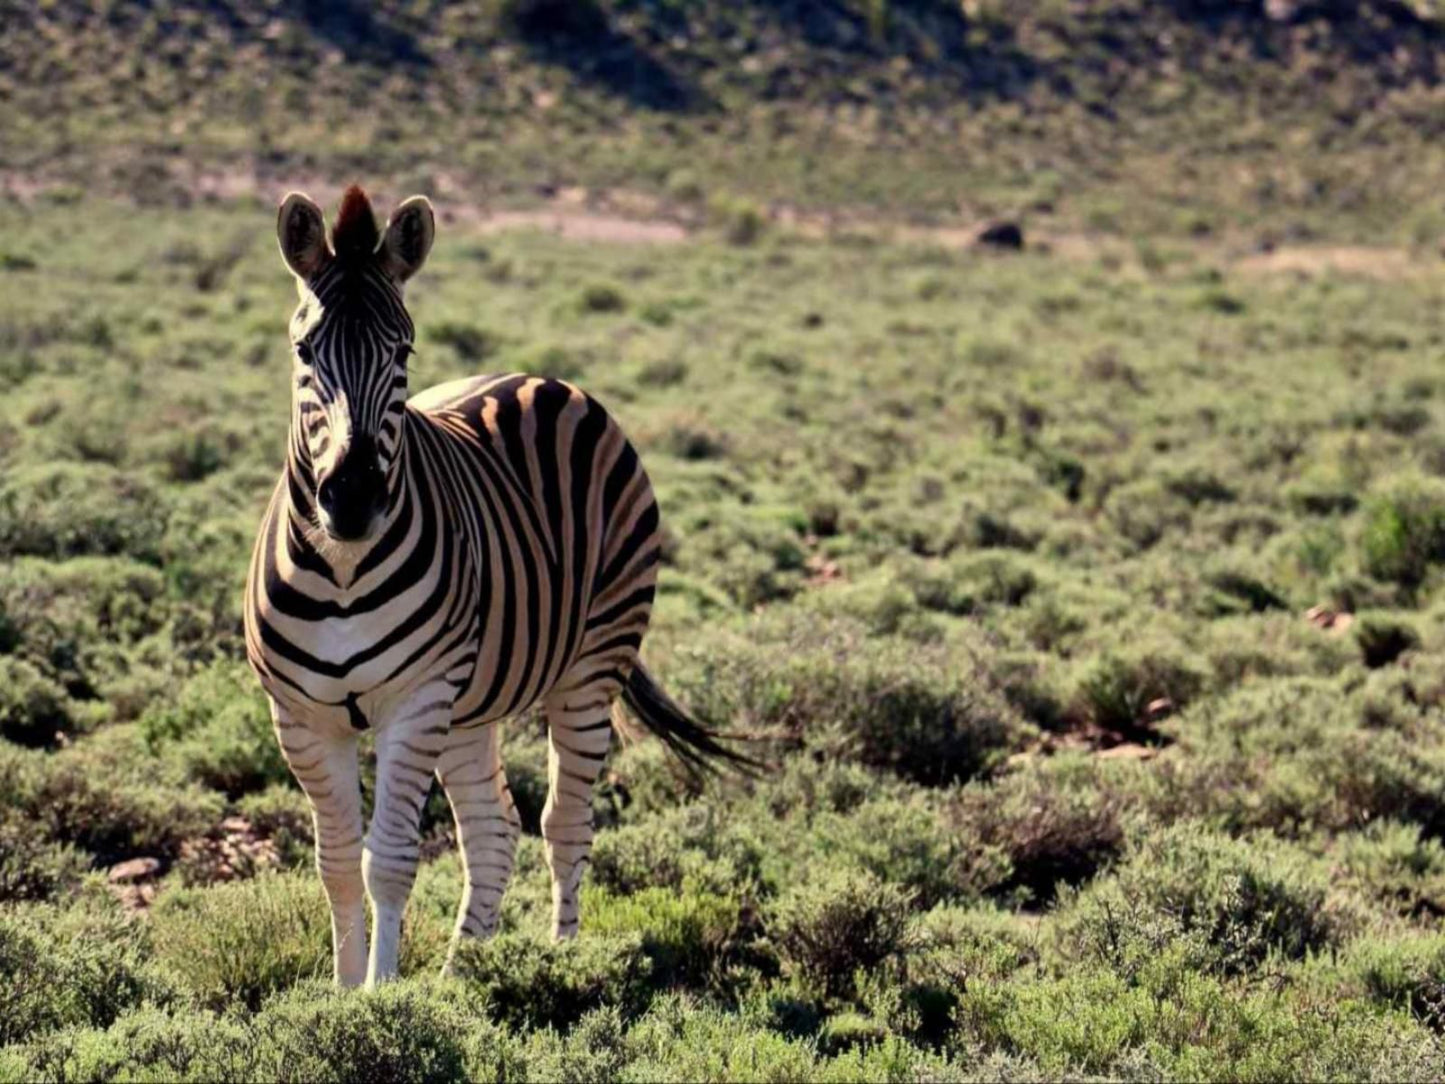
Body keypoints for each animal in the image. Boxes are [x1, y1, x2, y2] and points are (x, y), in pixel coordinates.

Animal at [242, 186, 739, 994]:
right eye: (304, 352)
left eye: (403, 351)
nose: (352, 499)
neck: (343, 567)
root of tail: (540, 378)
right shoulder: (302, 718)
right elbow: (337, 864)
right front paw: (343, 998)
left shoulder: (415, 702)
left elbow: (389, 862)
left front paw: (382, 998)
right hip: (469, 708)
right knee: (493, 832)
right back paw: (460, 980)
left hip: (587, 667)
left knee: (564, 825)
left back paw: (561, 963)